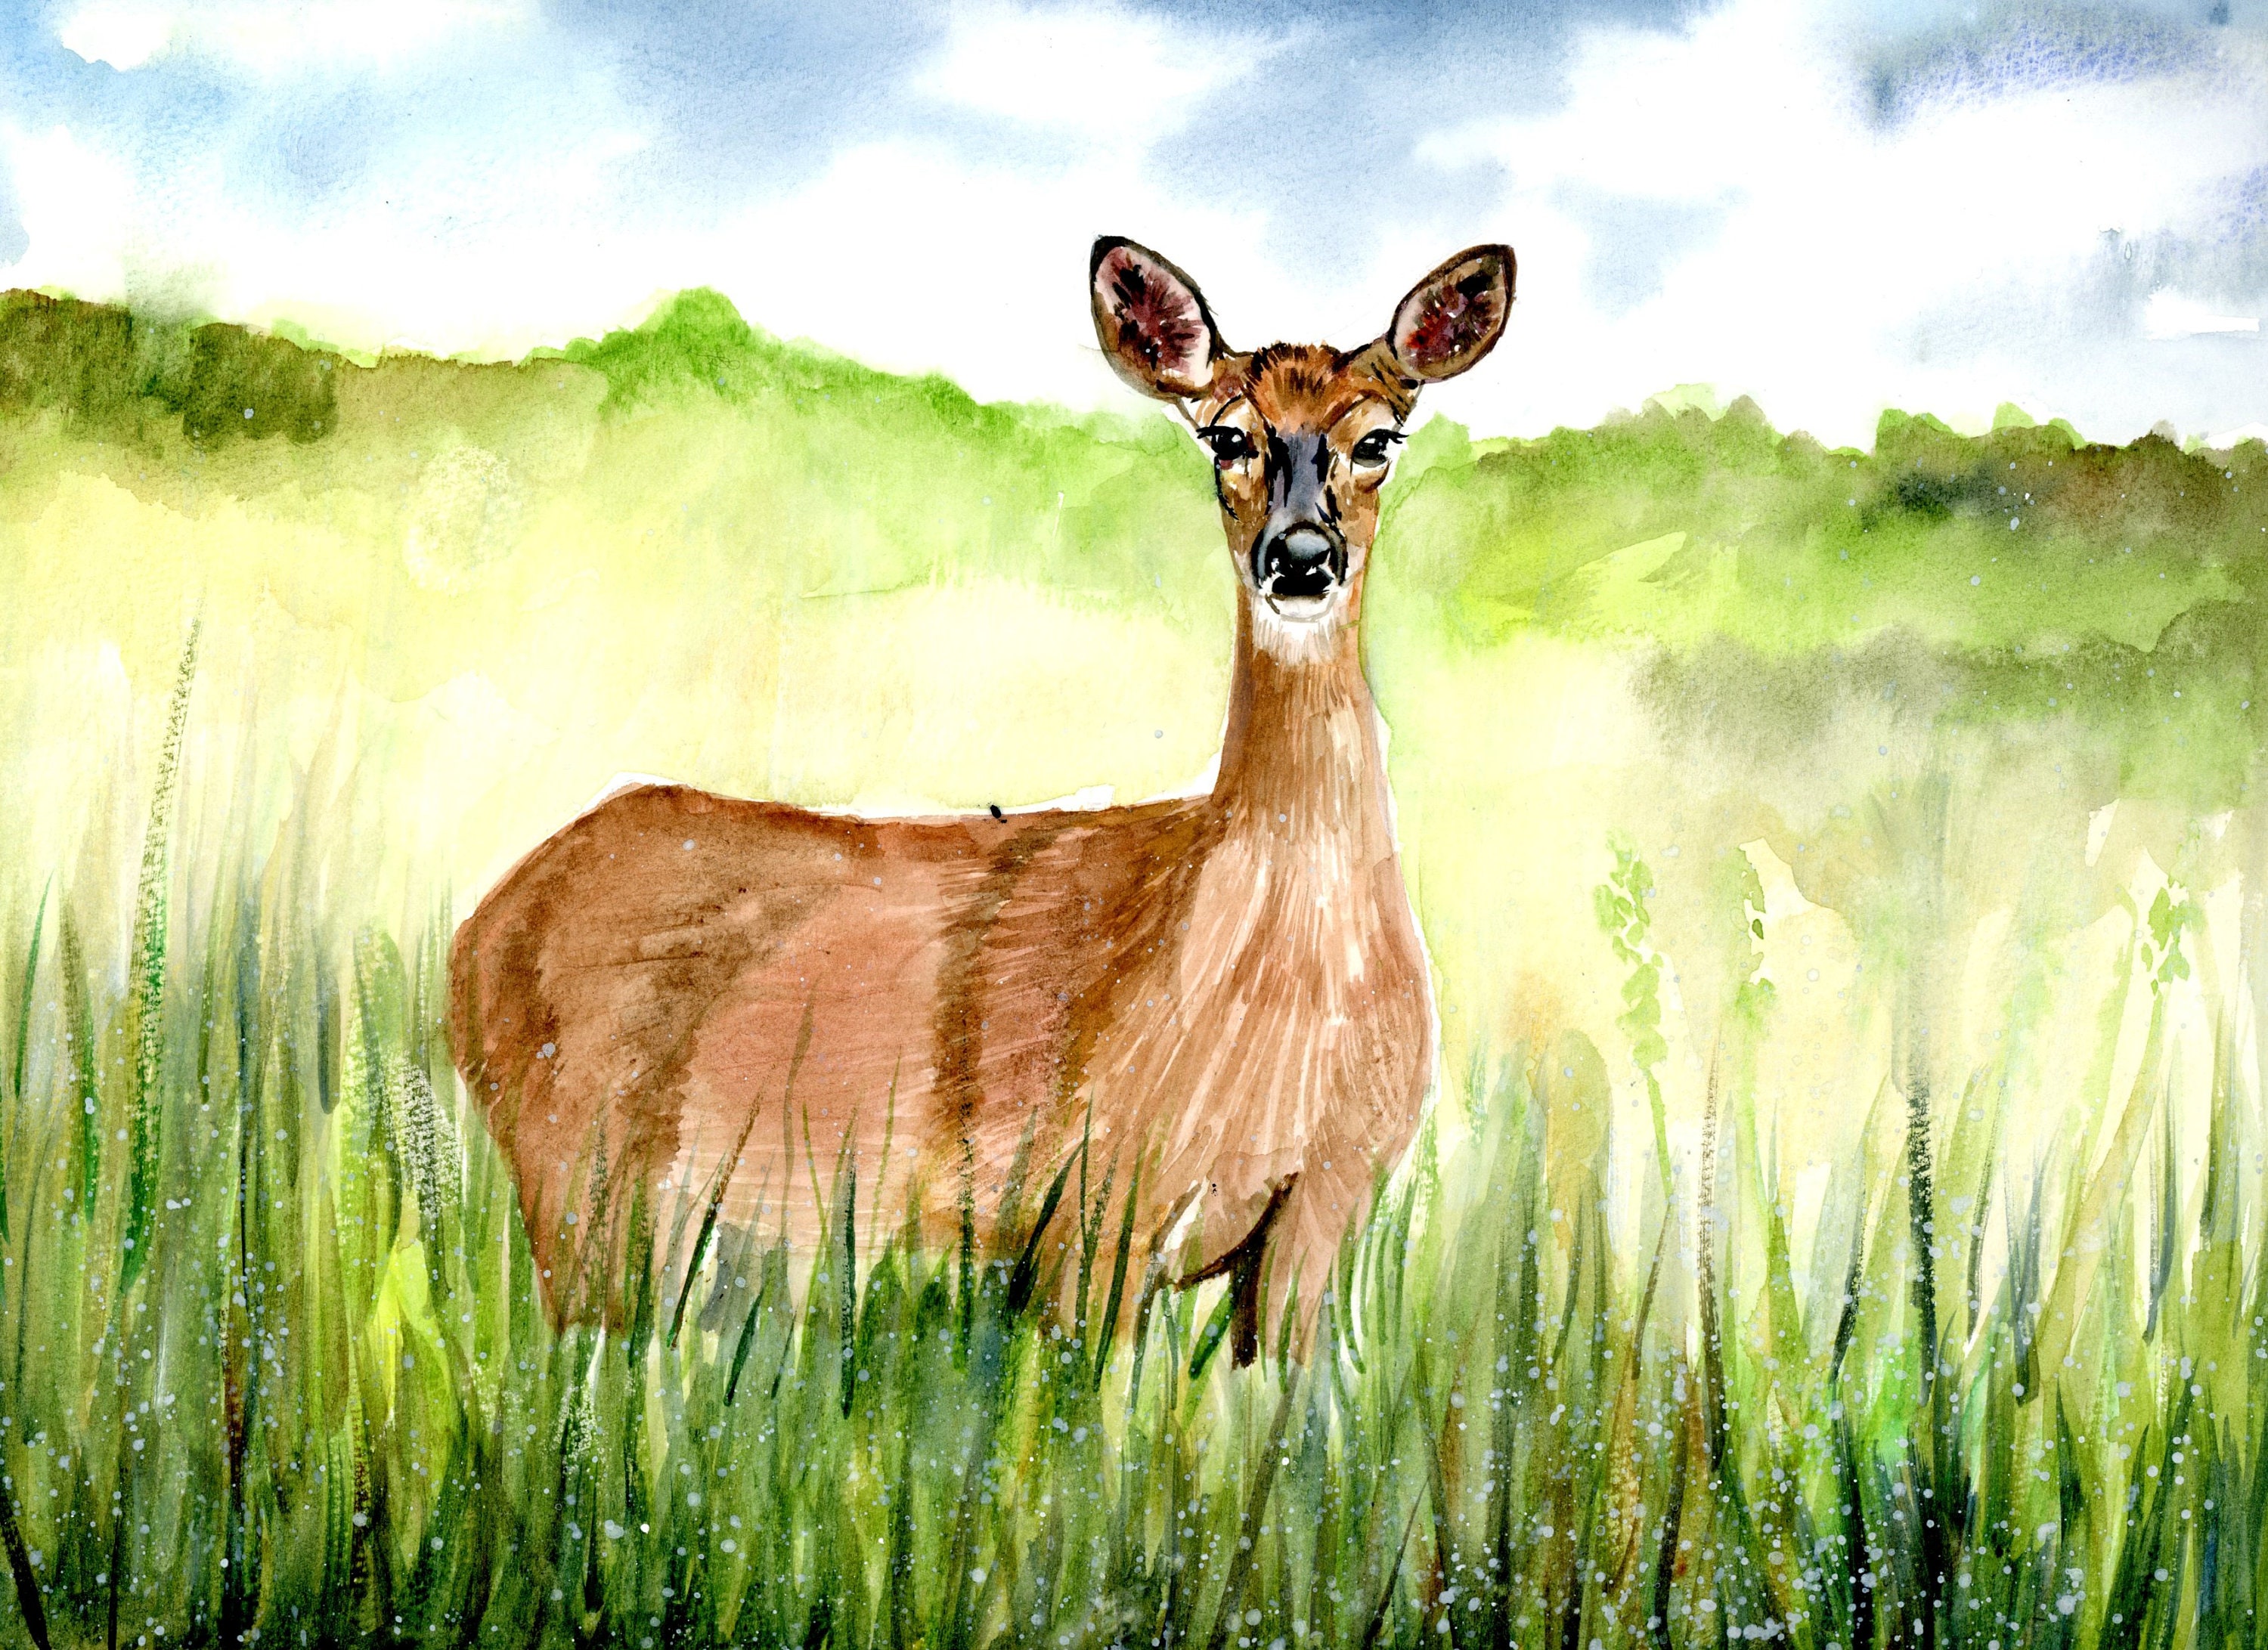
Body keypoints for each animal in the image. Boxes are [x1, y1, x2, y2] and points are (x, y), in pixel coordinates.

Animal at [448, 235, 1515, 1365]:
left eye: (1378, 439)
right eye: (1227, 435)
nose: (1303, 557)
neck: (1283, 993)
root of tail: (472, 932)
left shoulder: (1323, 1209)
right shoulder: (1089, 1203)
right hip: (576, 1178)